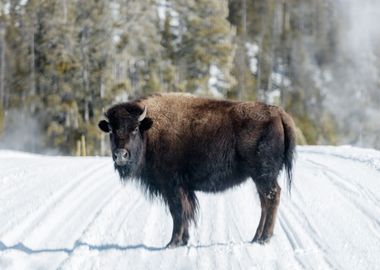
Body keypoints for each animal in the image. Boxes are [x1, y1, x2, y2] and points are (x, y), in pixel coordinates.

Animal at [98, 92, 296, 247]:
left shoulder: (172, 186)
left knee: (272, 197)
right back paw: (256, 237)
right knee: (264, 202)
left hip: (263, 175)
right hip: (259, 178)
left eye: (134, 129)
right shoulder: (183, 189)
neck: (150, 130)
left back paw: (264, 238)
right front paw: (183, 241)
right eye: (112, 131)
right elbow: (184, 212)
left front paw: (172, 242)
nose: (121, 155)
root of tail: (278, 113)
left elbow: (178, 212)